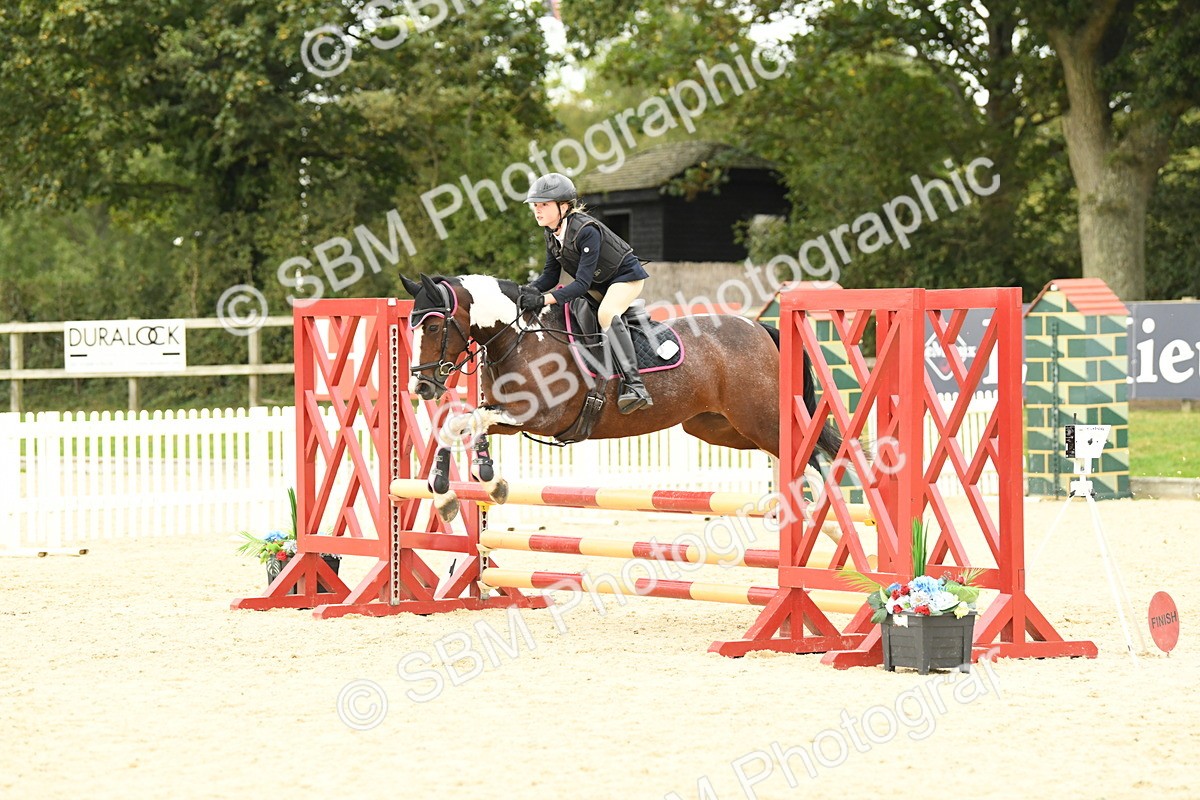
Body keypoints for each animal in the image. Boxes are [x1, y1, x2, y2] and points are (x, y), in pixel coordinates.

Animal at [400, 273, 842, 521]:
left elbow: (469, 420)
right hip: (719, 428)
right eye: (412, 326)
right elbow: (455, 424)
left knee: (807, 456)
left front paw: (488, 478)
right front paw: (447, 491)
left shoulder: (538, 415)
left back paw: (815, 512)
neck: (518, 336)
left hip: (758, 417)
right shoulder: (509, 417)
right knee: (786, 452)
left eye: (435, 326)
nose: (422, 387)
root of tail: (757, 326)